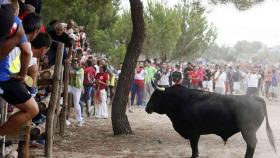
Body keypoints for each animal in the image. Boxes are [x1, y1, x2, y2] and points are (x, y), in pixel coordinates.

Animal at [145, 84, 276, 158]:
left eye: (155, 95)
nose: (147, 108)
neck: (182, 101)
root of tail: (255, 97)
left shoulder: (193, 133)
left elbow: (194, 149)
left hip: (248, 131)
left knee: (251, 145)